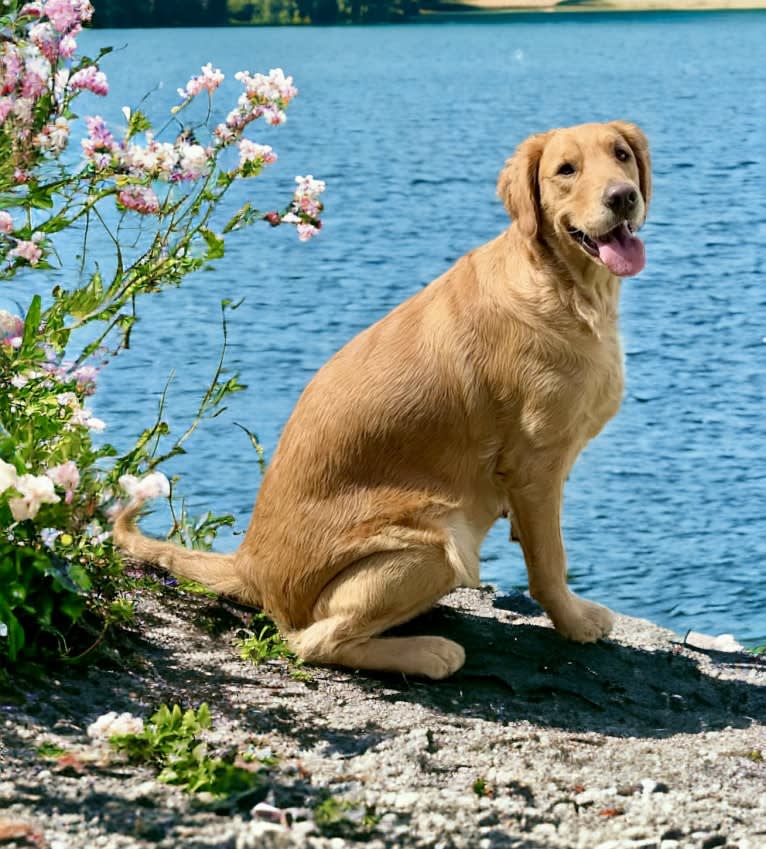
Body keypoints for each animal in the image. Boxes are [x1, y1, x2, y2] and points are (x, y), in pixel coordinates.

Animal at [115, 119, 656, 680]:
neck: (563, 284)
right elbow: (550, 562)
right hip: (441, 538)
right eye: (566, 170)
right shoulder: (535, 467)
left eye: (620, 154)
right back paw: (428, 651)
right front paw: (574, 622)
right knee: (311, 640)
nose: (623, 196)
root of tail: (250, 567)